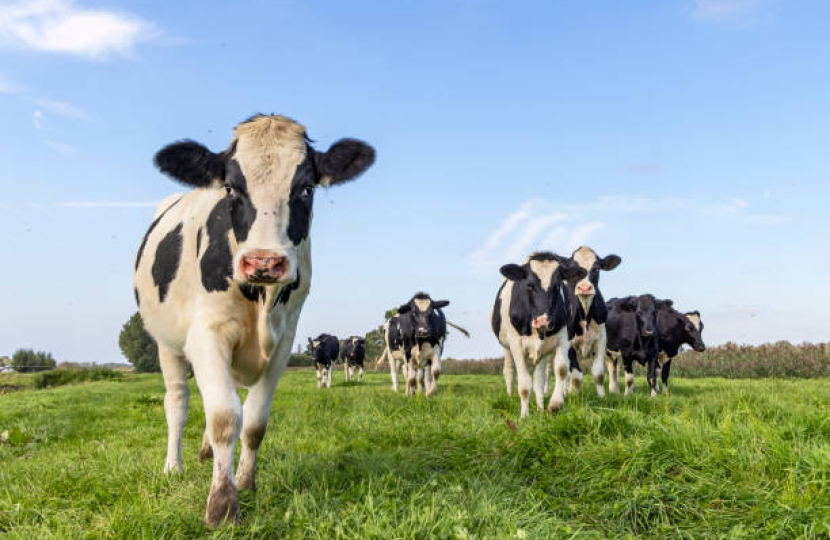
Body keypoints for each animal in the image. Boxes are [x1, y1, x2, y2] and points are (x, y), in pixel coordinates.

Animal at [134, 115, 376, 528]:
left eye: (306, 188)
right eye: (230, 188)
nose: (264, 262)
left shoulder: (284, 342)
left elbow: (254, 421)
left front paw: (245, 482)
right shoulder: (207, 334)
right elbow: (224, 417)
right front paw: (222, 504)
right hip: (168, 344)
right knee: (178, 403)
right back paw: (174, 466)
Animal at [494, 251, 592, 416]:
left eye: (558, 285)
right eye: (529, 285)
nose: (543, 321)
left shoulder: (564, 338)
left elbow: (561, 370)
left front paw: (554, 405)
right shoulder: (515, 344)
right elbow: (524, 384)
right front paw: (524, 416)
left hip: (544, 352)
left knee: (539, 379)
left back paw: (540, 407)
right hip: (506, 347)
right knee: (509, 371)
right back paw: (510, 396)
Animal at [564, 245, 620, 396]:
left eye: (597, 269)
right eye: (574, 270)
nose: (584, 288)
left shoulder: (601, 339)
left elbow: (598, 373)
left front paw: (602, 396)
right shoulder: (568, 342)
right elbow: (576, 376)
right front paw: (574, 396)